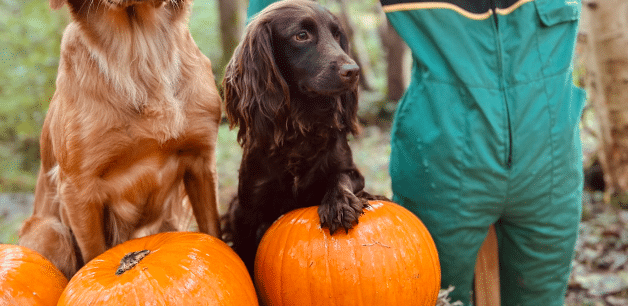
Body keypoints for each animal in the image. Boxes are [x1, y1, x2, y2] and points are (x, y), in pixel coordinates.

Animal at [18, 0, 221, 280]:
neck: (140, 54)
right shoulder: (78, 190)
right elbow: (94, 256)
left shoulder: (200, 161)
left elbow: (214, 232)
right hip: (50, 230)